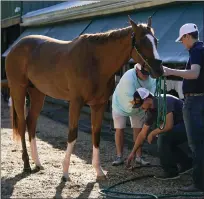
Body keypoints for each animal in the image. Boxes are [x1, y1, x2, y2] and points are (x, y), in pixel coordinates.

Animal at [5, 16, 163, 181]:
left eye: (155, 41)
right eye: (141, 42)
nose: (159, 69)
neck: (95, 62)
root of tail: (15, 47)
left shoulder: (98, 105)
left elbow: (96, 135)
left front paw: (99, 171)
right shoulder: (76, 102)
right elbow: (72, 134)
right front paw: (65, 173)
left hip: (37, 93)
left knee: (31, 122)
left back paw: (37, 163)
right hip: (18, 90)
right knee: (22, 124)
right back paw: (26, 165)